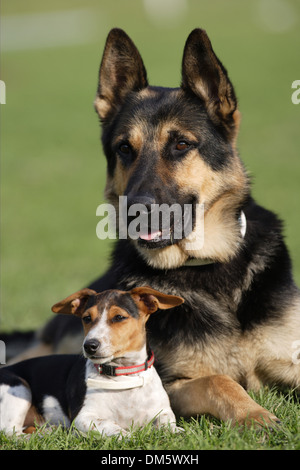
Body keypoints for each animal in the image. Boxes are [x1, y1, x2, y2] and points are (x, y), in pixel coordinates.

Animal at [0, 286, 183, 436]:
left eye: (119, 317)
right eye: (86, 318)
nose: (89, 345)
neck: (123, 375)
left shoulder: (162, 411)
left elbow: (168, 423)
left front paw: (177, 432)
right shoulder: (84, 417)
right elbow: (113, 427)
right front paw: (128, 436)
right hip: (18, 387)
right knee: (11, 433)